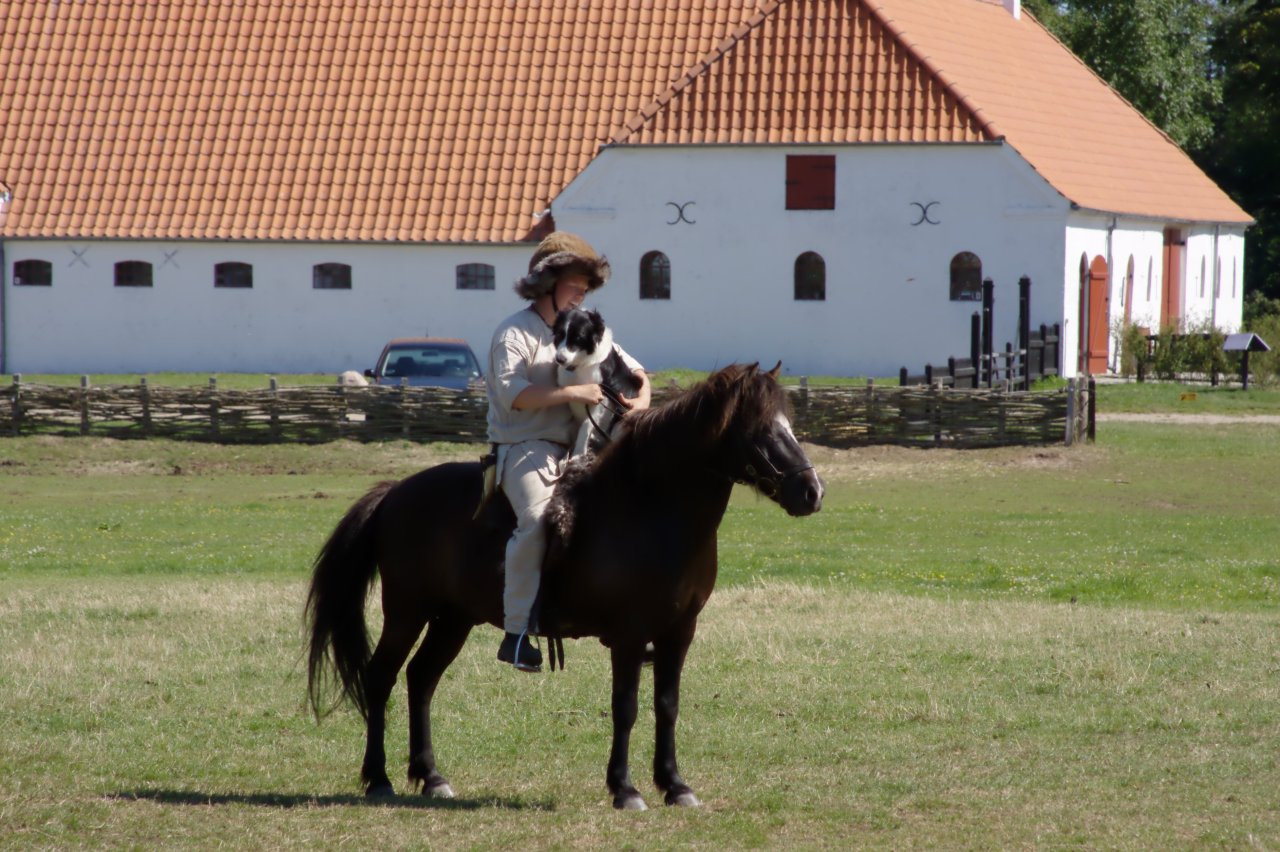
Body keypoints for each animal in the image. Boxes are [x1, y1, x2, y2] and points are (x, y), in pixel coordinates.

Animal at [308, 360, 824, 808]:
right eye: (761, 430)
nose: (812, 492)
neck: (649, 508)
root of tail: (394, 491)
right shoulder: (630, 636)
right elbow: (626, 707)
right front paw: (625, 789)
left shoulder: (679, 633)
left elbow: (667, 705)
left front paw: (675, 785)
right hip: (407, 612)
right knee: (381, 678)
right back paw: (379, 778)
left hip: (453, 619)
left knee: (421, 679)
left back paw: (431, 776)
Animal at [550, 301, 640, 455]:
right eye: (560, 334)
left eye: (578, 338)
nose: (559, 359)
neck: (580, 366)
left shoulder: (601, 397)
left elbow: (586, 424)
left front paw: (578, 453)